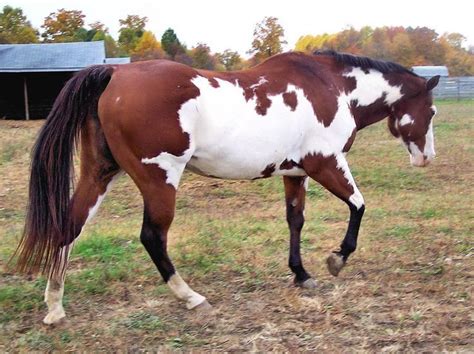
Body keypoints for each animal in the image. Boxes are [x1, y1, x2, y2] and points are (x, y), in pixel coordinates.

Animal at [12, 49, 440, 324]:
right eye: (432, 110)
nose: (426, 158)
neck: (329, 86)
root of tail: (115, 74)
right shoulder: (325, 163)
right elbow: (358, 205)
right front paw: (337, 259)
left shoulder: (295, 173)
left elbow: (295, 221)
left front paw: (301, 274)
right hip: (160, 179)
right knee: (152, 237)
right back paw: (191, 297)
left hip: (101, 173)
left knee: (69, 227)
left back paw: (54, 307)